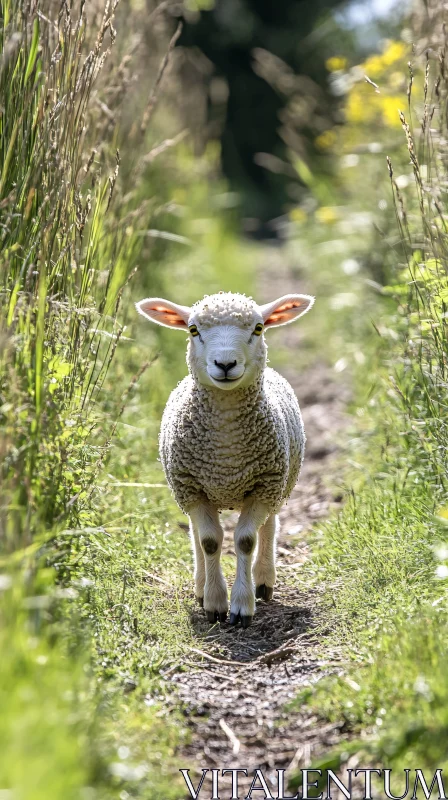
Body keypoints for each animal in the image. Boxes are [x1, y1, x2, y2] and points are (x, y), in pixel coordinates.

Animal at [135, 290, 314, 628]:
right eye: (193, 330)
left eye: (258, 328)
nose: (226, 363)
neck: (226, 452)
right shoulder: (191, 488)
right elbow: (209, 541)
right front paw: (214, 603)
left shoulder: (264, 486)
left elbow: (245, 541)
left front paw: (242, 606)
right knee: (198, 534)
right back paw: (200, 585)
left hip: (279, 485)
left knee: (269, 526)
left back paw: (263, 581)